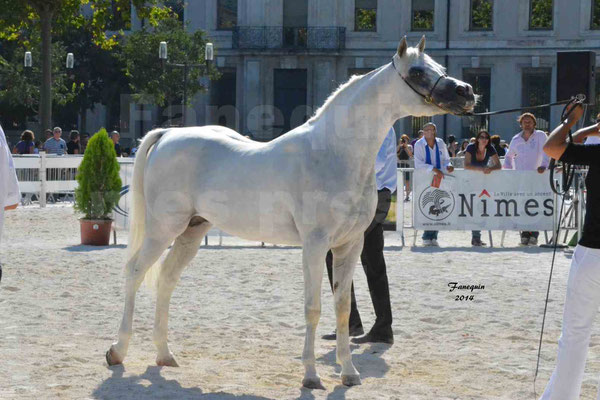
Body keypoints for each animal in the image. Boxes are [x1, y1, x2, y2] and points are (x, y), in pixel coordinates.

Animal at [106, 36, 474, 388]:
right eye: (417, 72)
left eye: (439, 66)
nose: (466, 92)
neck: (333, 153)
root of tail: (168, 134)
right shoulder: (314, 246)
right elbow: (313, 308)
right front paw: (311, 376)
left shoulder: (350, 245)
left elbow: (342, 309)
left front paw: (348, 372)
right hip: (163, 229)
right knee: (135, 272)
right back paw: (117, 351)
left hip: (191, 231)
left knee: (166, 280)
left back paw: (164, 355)